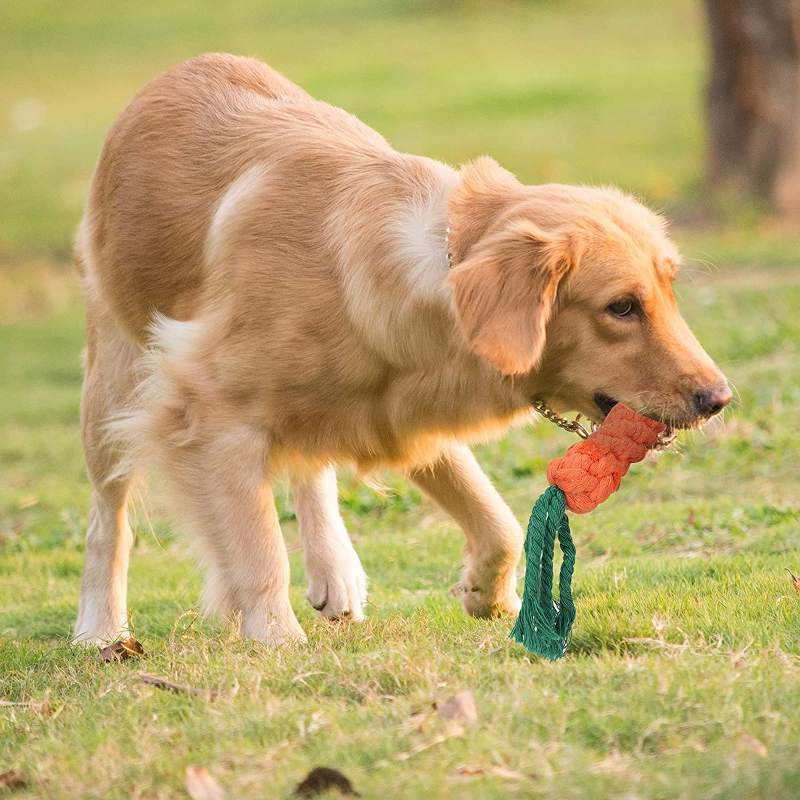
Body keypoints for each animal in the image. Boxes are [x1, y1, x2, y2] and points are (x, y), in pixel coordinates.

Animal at [73, 54, 732, 644]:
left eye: (669, 290)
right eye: (621, 307)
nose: (719, 398)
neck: (438, 268)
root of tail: (169, 76)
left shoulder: (403, 414)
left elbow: (499, 522)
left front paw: (486, 595)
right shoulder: (208, 411)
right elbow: (258, 550)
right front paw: (276, 638)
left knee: (309, 465)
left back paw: (334, 568)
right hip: (113, 386)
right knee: (108, 519)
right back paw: (101, 629)